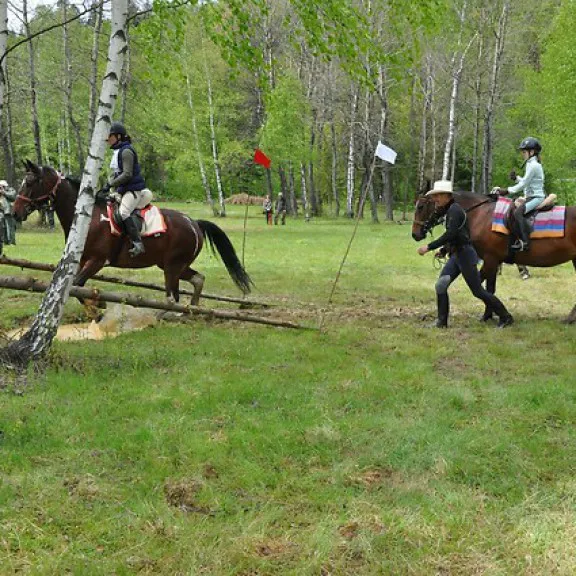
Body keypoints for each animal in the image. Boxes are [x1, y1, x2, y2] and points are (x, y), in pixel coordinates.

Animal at [11, 160, 252, 304]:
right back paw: (193, 309)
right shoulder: (81, 260)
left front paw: (97, 306)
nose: (15, 212)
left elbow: (78, 285)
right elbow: (73, 287)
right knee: (197, 279)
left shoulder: (98, 260)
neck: (88, 218)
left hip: (172, 266)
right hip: (173, 265)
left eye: (30, 182)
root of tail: (193, 222)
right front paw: (94, 306)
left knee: (172, 295)